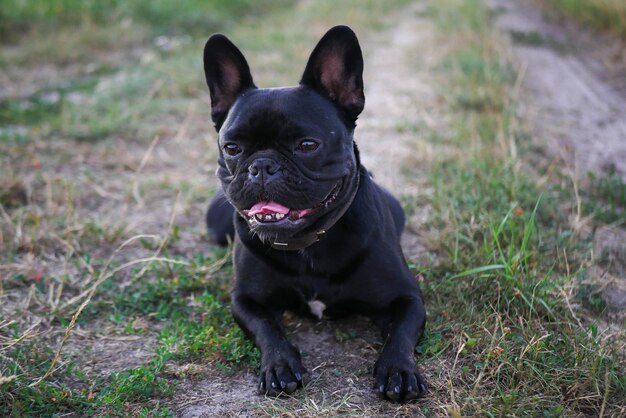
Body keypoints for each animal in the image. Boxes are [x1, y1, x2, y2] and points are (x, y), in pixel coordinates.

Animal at [202, 25, 426, 402]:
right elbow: (266, 328)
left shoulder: (407, 298)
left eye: (307, 145)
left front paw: (398, 370)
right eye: (231, 148)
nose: (261, 167)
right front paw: (279, 364)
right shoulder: (244, 300)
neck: (307, 243)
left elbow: (402, 334)